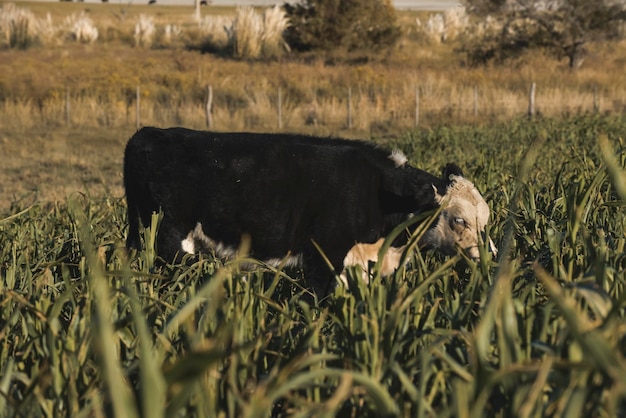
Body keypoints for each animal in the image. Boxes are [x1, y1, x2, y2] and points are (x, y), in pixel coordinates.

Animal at [123, 127, 492, 298]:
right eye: (459, 220)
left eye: (486, 220)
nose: (488, 256)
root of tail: (149, 133)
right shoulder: (324, 258)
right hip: (167, 237)